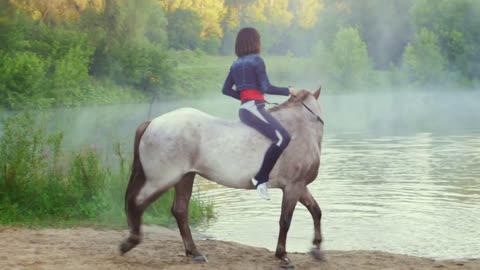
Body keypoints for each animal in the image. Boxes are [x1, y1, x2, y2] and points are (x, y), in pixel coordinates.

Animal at [119, 89, 326, 266]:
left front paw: (317, 249)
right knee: (137, 201)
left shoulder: (300, 186)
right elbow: (285, 220)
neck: (299, 127)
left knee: (179, 211)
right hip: (161, 180)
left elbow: (316, 211)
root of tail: (152, 122)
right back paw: (131, 242)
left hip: (185, 178)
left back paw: (194, 253)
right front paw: (282, 255)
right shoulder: (292, 186)